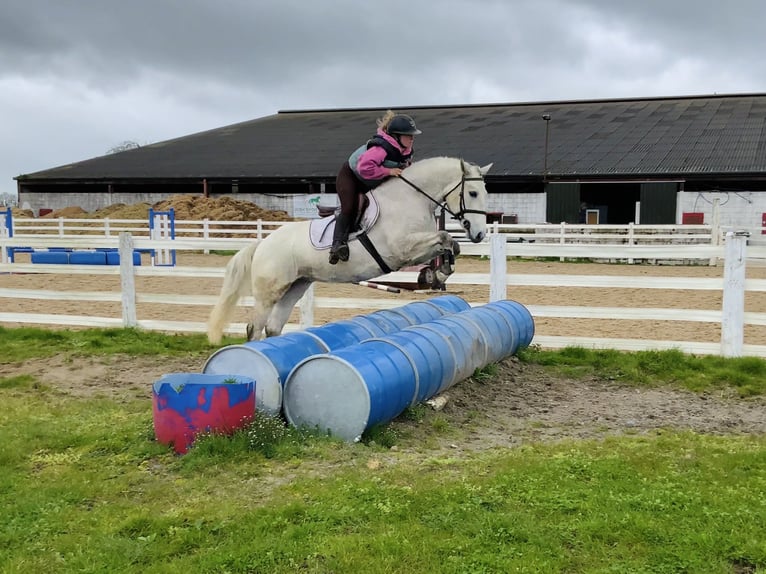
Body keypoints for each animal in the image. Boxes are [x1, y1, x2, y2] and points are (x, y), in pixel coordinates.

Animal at [207, 156, 492, 344]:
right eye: (473, 193)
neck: (411, 199)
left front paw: (439, 273)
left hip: (296, 286)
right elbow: (445, 237)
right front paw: (437, 273)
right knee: (255, 327)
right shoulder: (402, 249)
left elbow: (449, 243)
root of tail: (263, 243)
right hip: (269, 292)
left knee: (273, 327)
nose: (479, 234)